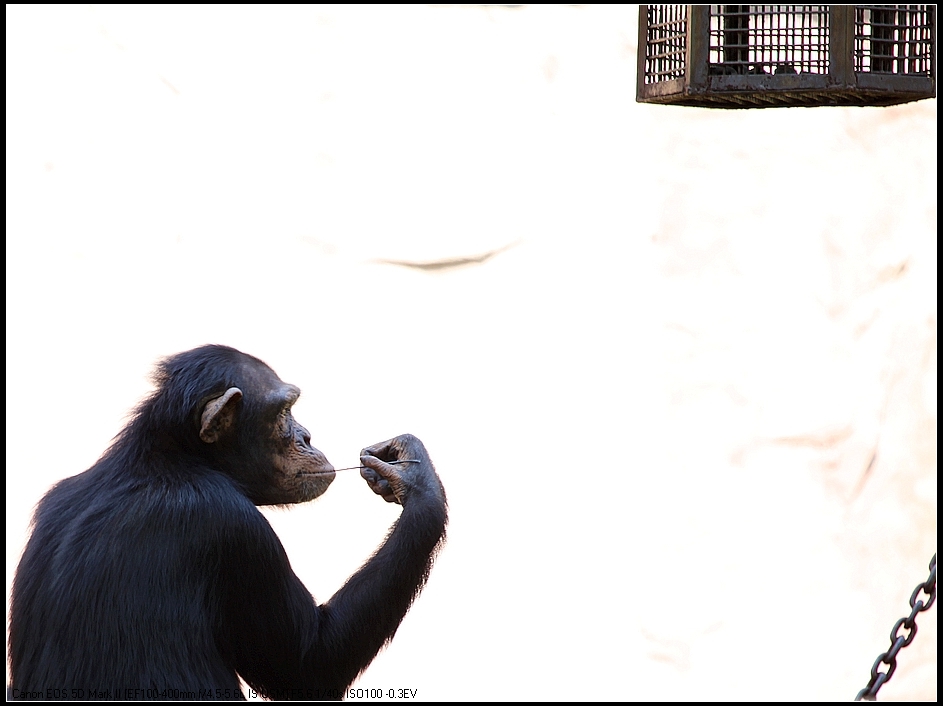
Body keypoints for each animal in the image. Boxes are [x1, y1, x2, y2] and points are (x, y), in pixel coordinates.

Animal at [8, 342, 450, 700]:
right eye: (284, 411)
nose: (307, 436)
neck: (182, 458)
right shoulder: (234, 526)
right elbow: (311, 664)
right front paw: (417, 481)